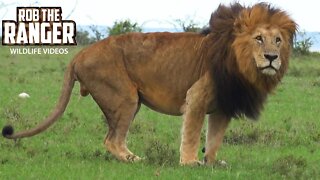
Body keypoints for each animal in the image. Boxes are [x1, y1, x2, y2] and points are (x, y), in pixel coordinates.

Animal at [2, 2, 298, 165]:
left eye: (278, 40)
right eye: (259, 38)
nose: (272, 57)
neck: (242, 65)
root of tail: (79, 55)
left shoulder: (224, 106)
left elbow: (214, 139)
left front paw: (212, 163)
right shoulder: (196, 96)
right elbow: (192, 133)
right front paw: (190, 163)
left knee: (113, 139)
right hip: (125, 97)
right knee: (112, 140)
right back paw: (135, 160)